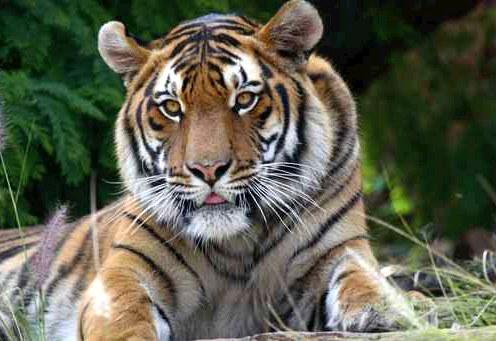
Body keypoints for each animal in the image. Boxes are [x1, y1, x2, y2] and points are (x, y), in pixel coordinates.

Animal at [0, 1, 398, 338]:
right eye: (172, 107)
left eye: (244, 99)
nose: (208, 170)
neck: (238, 245)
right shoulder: (125, 271)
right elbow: (124, 316)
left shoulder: (341, 248)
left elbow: (363, 278)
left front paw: (385, 308)